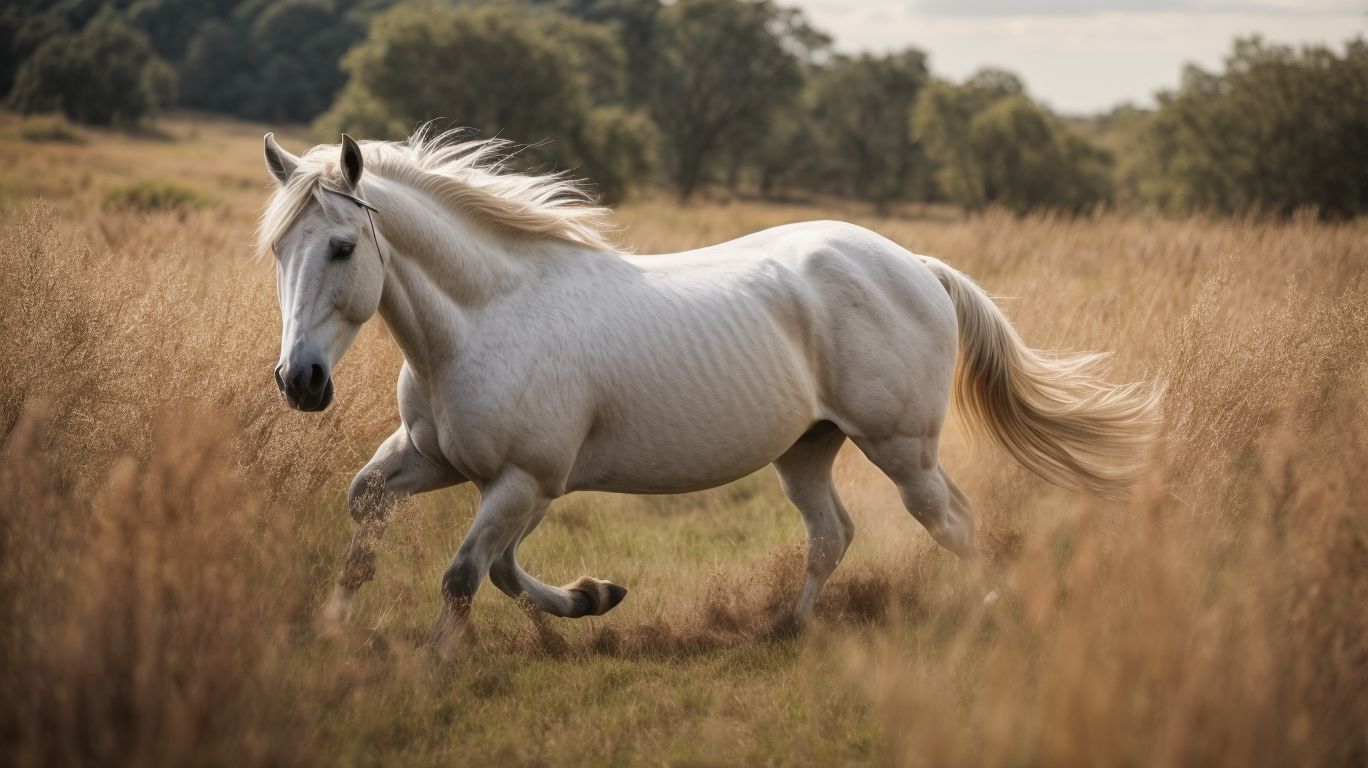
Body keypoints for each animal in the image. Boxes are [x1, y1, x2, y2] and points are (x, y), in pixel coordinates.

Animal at [258, 129, 1155, 656]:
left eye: (342, 247)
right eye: (278, 250)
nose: (301, 383)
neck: (487, 319)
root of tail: (916, 266)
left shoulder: (524, 480)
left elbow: (467, 575)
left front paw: (440, 670)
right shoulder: (436, 461)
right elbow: (377, 515)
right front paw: (592, 596)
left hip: (902, 448)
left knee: (951, 522)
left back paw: (991, 613)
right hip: (807, 449)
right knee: (832, 534)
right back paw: (787, 630)